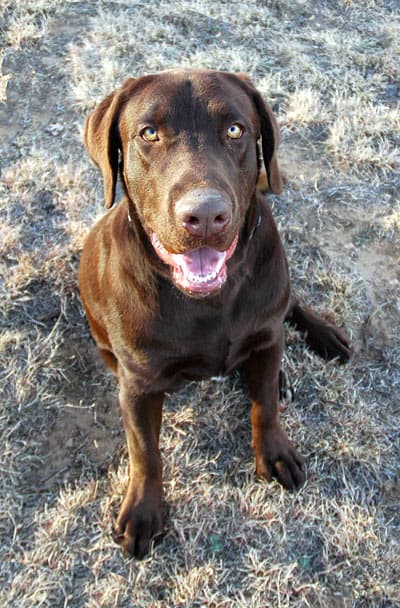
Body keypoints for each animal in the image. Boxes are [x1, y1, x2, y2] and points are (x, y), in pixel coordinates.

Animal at [79, 69, 350, 560]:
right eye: (149, 134)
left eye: (236, 130)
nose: (205, 216)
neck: (208, 300)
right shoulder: (137, 384)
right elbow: (145, 451)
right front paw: (144, 510)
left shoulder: (266, 333)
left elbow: (265, 407)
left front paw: (274, 452)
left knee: (289, 313)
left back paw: (320, 339)